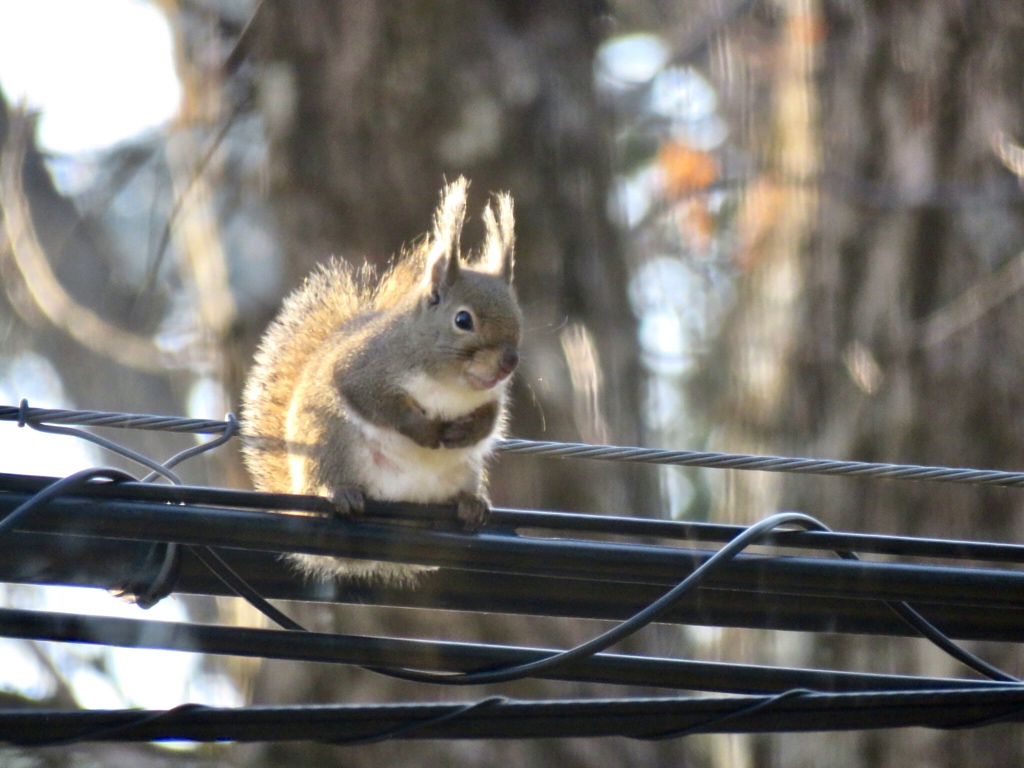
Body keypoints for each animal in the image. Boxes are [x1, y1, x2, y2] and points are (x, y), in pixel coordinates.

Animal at [239, 177, 520, 585]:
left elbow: (490, 419)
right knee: (328, 478)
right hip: (330, 440)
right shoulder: (365, 367)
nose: (508, 363)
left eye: (519, 316)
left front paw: (463, 432)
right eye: (463, 320)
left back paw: (470, 504)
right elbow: (375, 401)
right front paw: (424, 431)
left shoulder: (492, 396)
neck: (451, 383)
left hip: (463, 471)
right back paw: (340, 493)